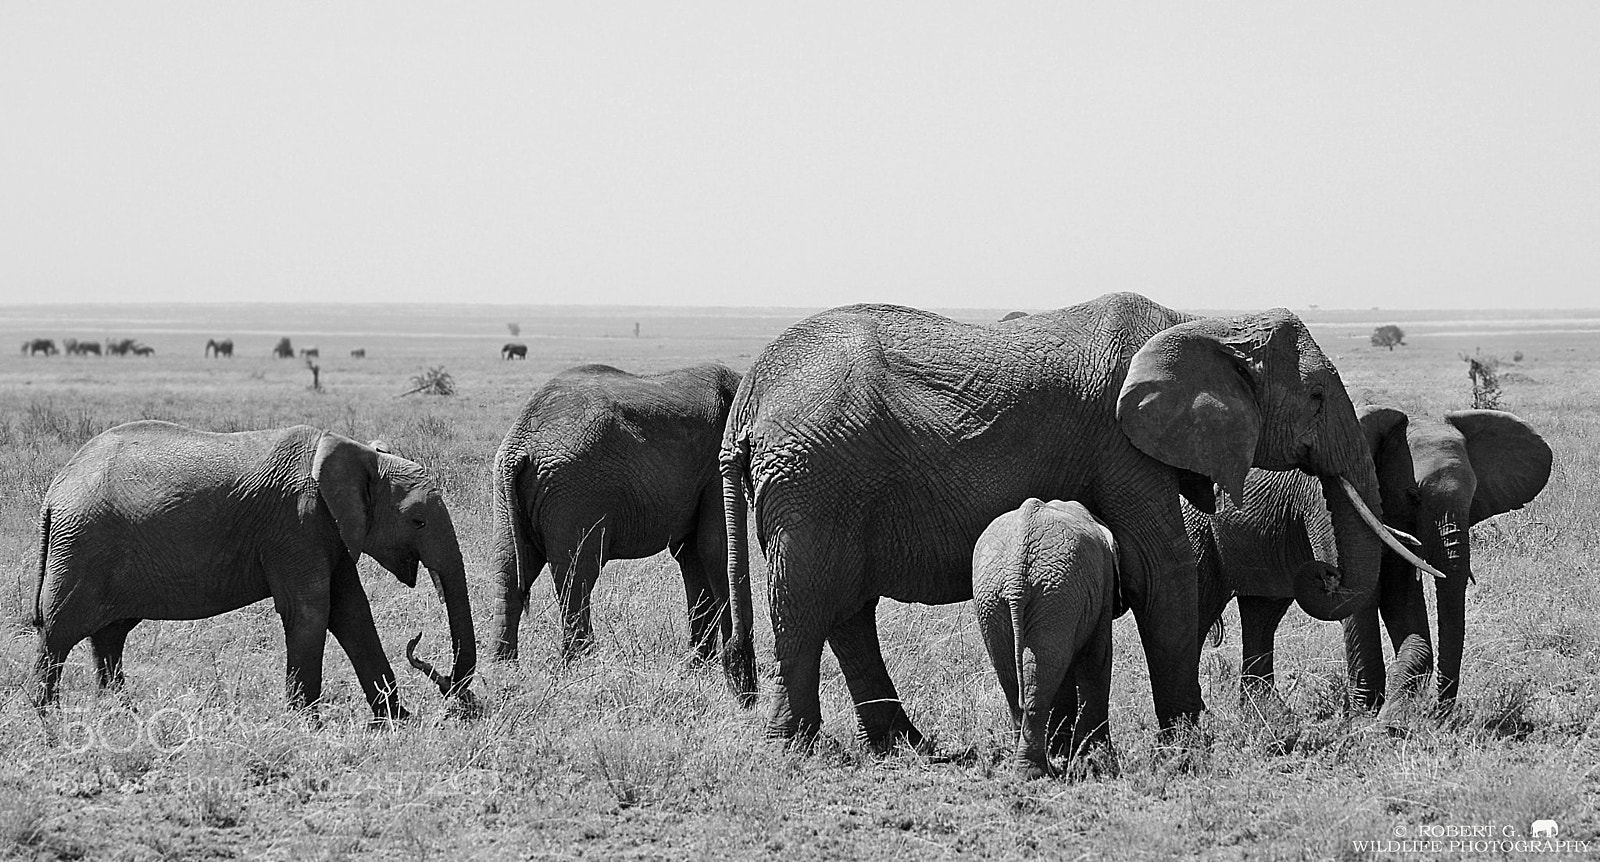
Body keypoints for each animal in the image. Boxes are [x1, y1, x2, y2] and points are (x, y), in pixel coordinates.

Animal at [31, 421, 477, 721]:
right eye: (418, 521)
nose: (462, 706)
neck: (359, 455)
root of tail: (55, 490)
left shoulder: (328, 530)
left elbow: (351, 613)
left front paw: (396, 723)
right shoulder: (296, 523)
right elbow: (311, 610)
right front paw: (306, 726)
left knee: (109, 635)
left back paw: (122, 714)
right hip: (82, 545)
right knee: (59, 632)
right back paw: (47, 718)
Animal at [490, 363, 743, 662]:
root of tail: (520, 443)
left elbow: (692, 554)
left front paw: (701, 663)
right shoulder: (717, 465)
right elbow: (715, 548)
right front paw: (728, 657)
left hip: (508, 493)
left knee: (509, 571)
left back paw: (503, 665)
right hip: (576, 492)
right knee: (577, 575)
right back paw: (583, 662)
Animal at [719, 292, 1439, 751]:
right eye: (1315, 398)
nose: (1321, 570)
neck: (1203, 323)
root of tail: (749, 391)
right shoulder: (1121, 444)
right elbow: (1162, 568)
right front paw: (1190, 742)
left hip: (825, 484)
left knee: (846, 609)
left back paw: (905, 747)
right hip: (815, 480)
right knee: (806, 602)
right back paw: (797, 750)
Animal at [973, 499, 1118, 780]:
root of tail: (1016, 574)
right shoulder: (1103, 587)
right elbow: (1097, 660)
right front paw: (1098, 760)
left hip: (997, 597)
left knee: (1013, 677)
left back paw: (1024, 768)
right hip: (1055, 593)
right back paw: (1035, 772)